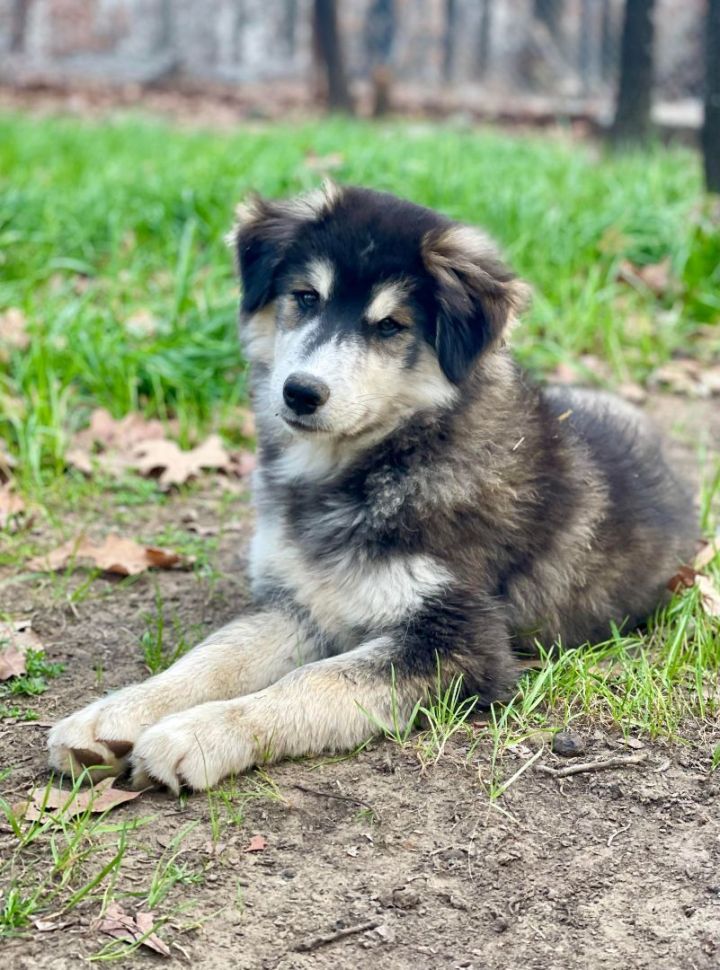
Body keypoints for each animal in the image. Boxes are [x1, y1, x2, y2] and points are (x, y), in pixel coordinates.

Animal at [47, 182, 696, 788]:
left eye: (389, 326)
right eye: (305, 297)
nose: (301, 392)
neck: (375, 466)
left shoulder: (461, 640)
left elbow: (313, 682)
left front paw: (197, 734)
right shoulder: (302, 601)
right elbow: (215, 656)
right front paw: (115, 714)